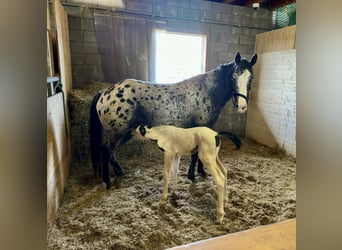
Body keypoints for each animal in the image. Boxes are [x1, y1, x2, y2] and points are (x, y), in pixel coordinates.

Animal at [89, 53, 258, 189]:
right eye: (234, 76)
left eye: (251, 78)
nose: (242, 106)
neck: (206, 92)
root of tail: (104, 92)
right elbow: (196, 154)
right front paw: (193, 176)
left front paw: (200, 173)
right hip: (117, 132)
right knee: (106, 151)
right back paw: (107, 182)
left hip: (126, 132)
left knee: (111, 152)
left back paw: (119, 172)